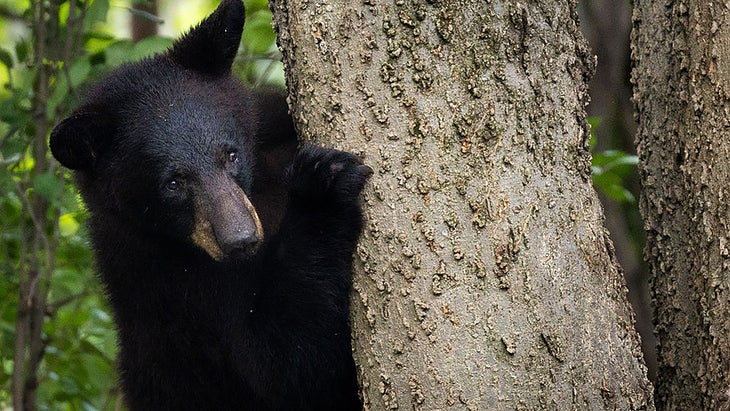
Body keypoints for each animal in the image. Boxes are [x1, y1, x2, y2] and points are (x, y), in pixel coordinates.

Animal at [49, 1, 369, 409]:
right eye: (173, 183)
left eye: (230, 155)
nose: (242, 240)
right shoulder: (171, 284)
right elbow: (287, 363)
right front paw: (321, 186)